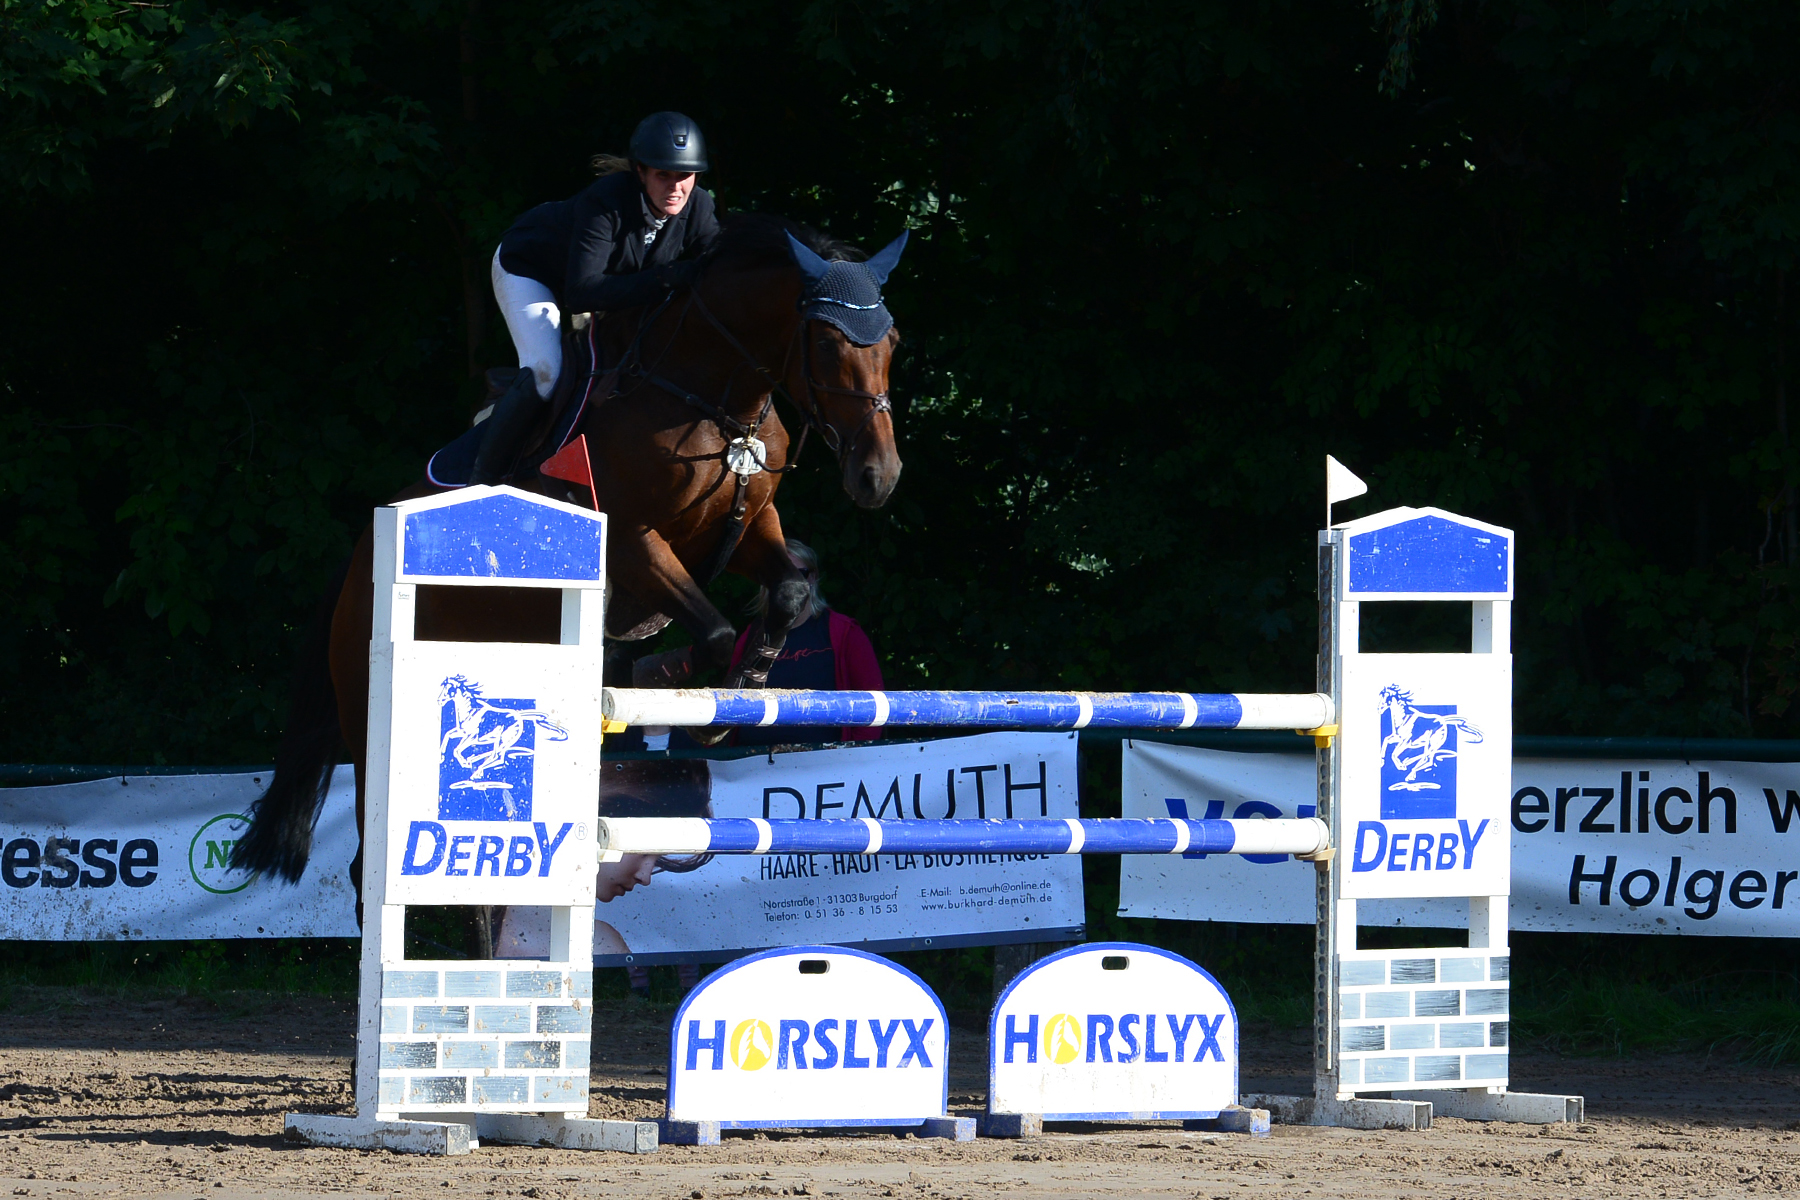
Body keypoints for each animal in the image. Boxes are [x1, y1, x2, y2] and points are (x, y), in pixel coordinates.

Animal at [230, 215, 904, 922]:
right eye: (826, 343)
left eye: (892, 343)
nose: (877, 477)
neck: (708, 394)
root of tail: (362, 554)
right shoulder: (633, 540)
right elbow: (716, 631)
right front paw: (692, 702)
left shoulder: (750, 523)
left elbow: (790, 592)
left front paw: (743, 690)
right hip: (376, 722)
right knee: (375, 867)